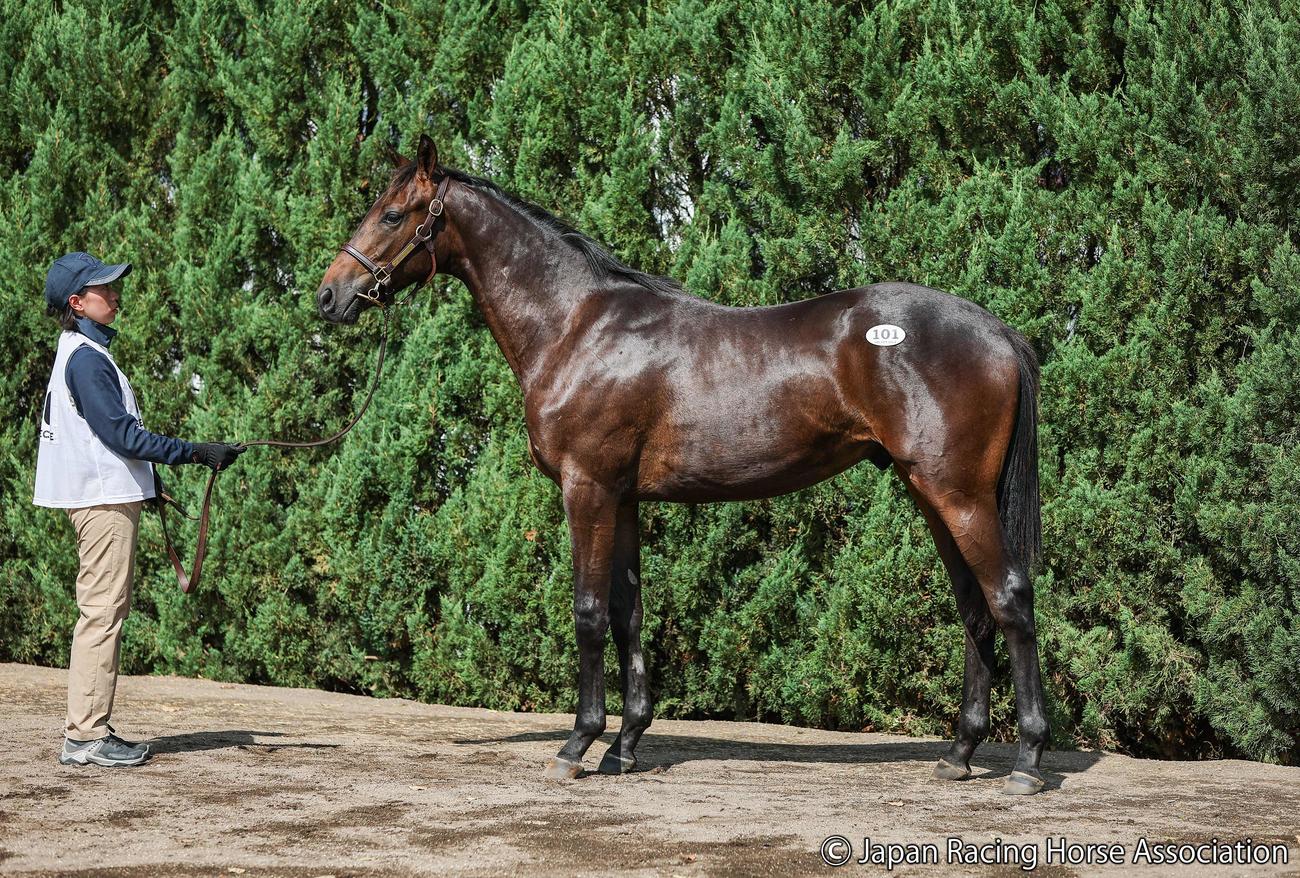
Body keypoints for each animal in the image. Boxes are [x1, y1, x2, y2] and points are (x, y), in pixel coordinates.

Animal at [316, 134, 1050, 795]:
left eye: (392, 214)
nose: (329, 297)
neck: (576, 327)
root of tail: (999, 332)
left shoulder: (587, 489)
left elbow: (588, 612)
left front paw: (578, 745)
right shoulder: (622, 497)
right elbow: (627, 613)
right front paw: (625, 746)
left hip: (958, 494)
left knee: (1009, 598)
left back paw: (1027, 761)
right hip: (931, 494)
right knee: (974, 607)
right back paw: (959, 754)